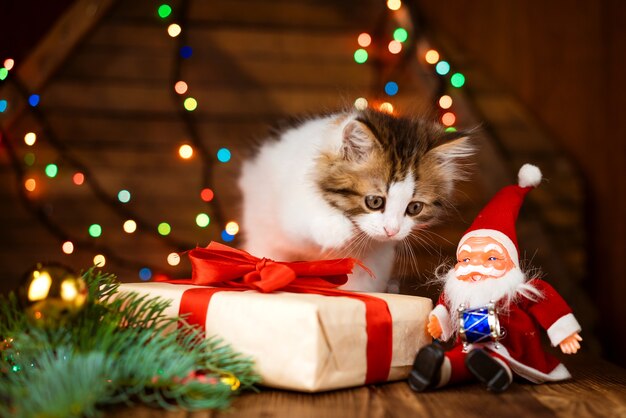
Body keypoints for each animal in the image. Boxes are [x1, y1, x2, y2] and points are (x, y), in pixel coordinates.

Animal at [236, 108, 470, 290]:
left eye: (414, 207)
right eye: (374, 202)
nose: (391, 231)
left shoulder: (374, 262)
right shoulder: (292, 208)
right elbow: (308, 215)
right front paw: (338, 231)